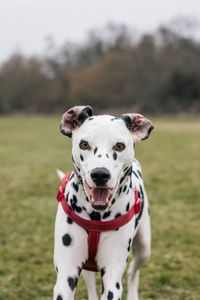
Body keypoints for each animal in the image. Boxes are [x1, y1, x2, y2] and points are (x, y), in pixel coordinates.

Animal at [53, 104, 153, 298]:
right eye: (84, 144)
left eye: (119, 146)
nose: (100, 174)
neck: (96, 218)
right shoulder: (66, 274)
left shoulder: (112, 278)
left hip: (144, 247)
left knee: (133, 271)